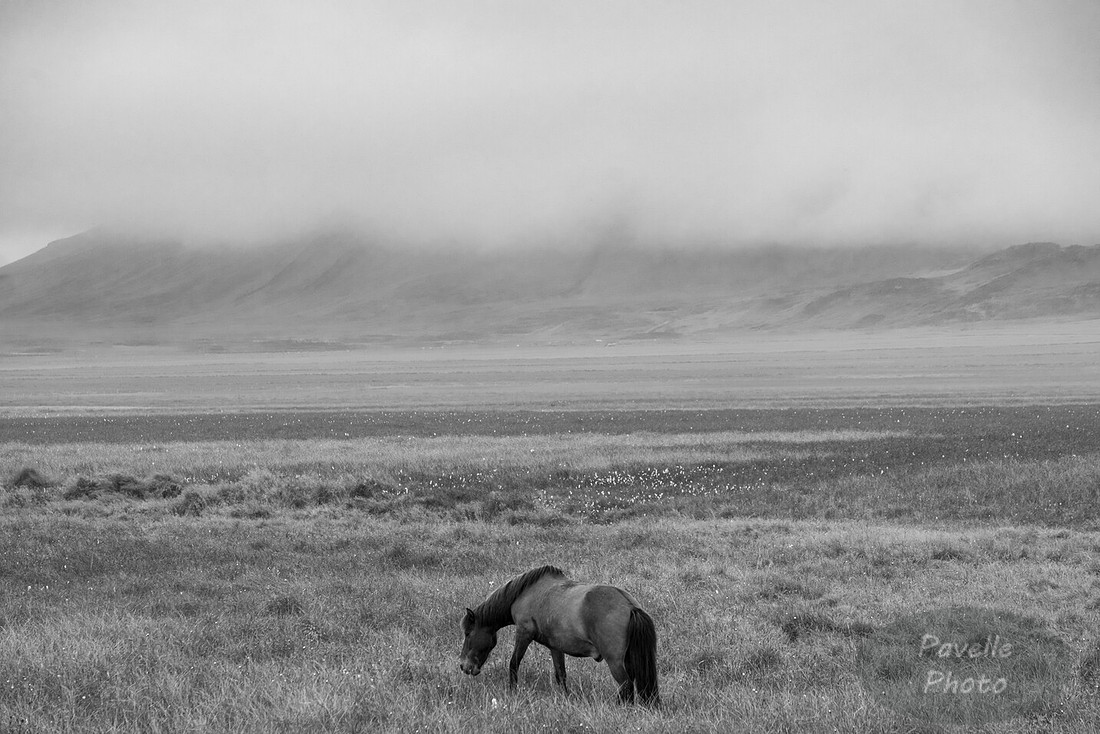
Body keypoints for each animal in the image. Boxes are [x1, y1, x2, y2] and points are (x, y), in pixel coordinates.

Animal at [459, 565, 660, 706]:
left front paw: (512, 691)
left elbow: (514, 664)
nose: (464, 666)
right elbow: (560, 675)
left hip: (615, 662)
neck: (526, 593)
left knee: (626, 686)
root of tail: (630, 606)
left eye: (467, 633)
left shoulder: (524, 633)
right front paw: (565, 698)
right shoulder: (555, 647)